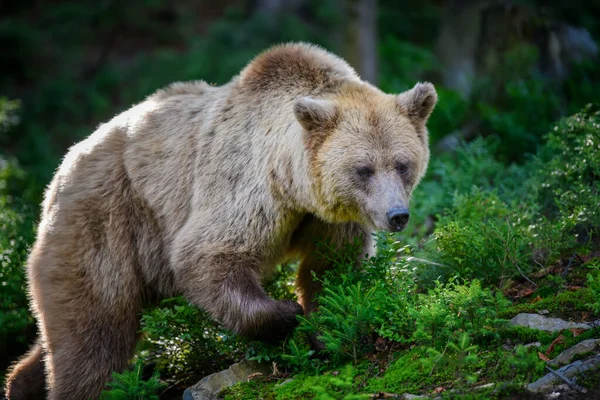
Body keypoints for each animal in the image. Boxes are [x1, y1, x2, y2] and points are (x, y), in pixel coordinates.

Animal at [4, 41, 436, 400]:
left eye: (402, 164)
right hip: (107, 223)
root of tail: (63, 168)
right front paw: (286, 313)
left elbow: (332, 267)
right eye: (363, 169)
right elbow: (209, 255)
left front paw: (326, 326)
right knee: (96, 334)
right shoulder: (246, 186)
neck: (294, 185)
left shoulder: (328, 217)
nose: (397, 215)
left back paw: (21, 382)